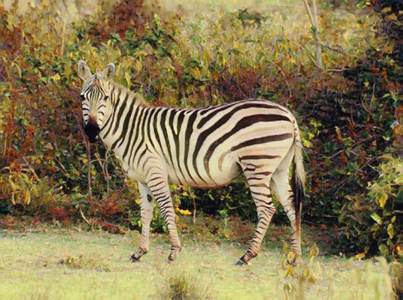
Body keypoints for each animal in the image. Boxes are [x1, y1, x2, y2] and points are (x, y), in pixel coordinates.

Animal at [78, 60, 306, 264]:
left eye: (106, 98)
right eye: (82, 97)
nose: (91, 130)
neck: (132, 130)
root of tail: (288, 114)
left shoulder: (155, 172)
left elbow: (166, 209)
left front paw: (174, 251)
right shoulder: (142, 179)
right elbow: (146, 213)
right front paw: (140, 252)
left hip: (257, 166)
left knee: (267, 208)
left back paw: (247, 255)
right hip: (278, 170)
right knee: (291, 205)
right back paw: (295, 257)